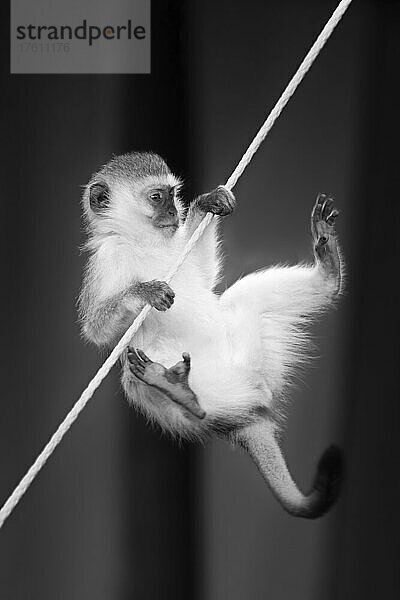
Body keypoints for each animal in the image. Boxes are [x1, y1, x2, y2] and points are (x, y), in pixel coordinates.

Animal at [79, 152, 344, 516]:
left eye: (173, 194)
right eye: (156, 197)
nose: (173, 213)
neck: (143, 241)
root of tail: (245, 412)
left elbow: (203, 274)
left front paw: (206, 204)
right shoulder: (107, 259)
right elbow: (96, 329)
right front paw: (144, 292)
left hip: (252, 357)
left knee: (248, 297)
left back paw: (329, 274)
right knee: (135, 378)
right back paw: (180, 393)